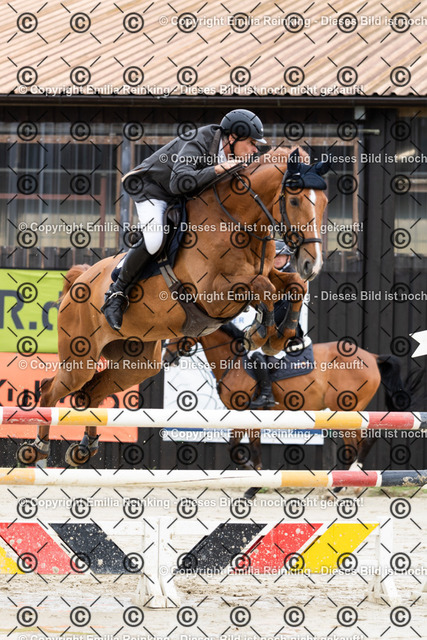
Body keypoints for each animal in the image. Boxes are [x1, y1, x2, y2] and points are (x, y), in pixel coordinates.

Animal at [16, 147, 330, 465]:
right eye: (294, 199)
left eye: (325, 203)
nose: (312, 263)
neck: (236, 222)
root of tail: (78, 282)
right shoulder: (213, 293)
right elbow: (264, 289)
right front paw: (259, 333)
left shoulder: (267, 274)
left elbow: (294, 285)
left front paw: (280, 336)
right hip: (80, 357)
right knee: (50, 390)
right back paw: (36, 451)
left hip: (138, 362)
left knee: (88, 394)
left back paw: (83, 448)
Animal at [163, 323, 420, 498]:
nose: (166, 357)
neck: (234, 361)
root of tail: (373, 357)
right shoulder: (246, 415)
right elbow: (243, 449)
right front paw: (254, 484)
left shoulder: (245, 412)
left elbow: (240, 451)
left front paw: (251, 477)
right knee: (357, 444)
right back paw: (342, 485)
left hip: (346, 409)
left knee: (360, 443)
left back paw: (343, 484)